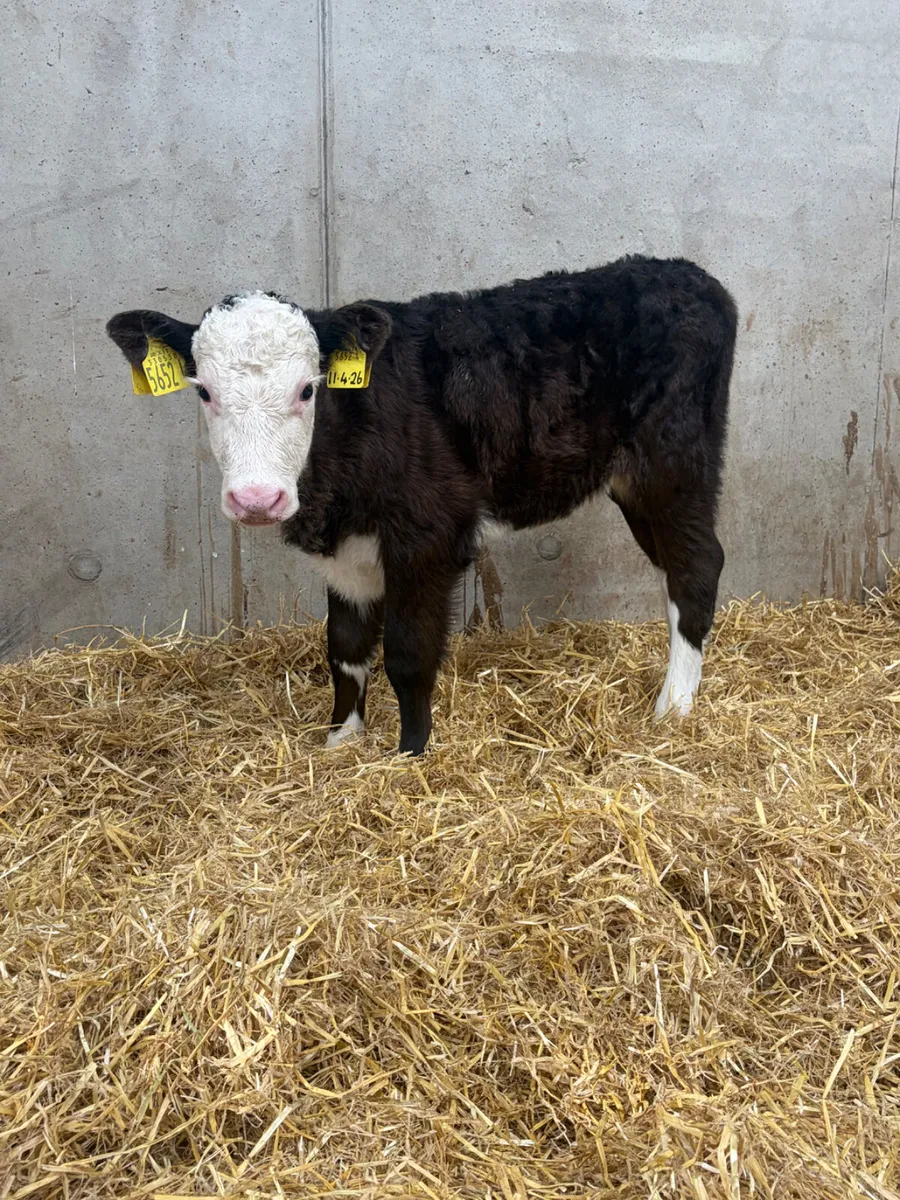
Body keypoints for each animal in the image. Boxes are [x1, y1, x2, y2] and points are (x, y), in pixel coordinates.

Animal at [107, 255, 737, 756]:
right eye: (205, 392)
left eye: (308, 389)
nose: (257, 499)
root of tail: (689, 274)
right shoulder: (347, 554)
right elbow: (345, 648)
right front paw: (341, 741)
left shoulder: (428, 535)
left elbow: (408, 654)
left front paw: (410, 753)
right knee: (674, 571)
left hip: (673, 462)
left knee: (697, 565)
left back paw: (674, 706)